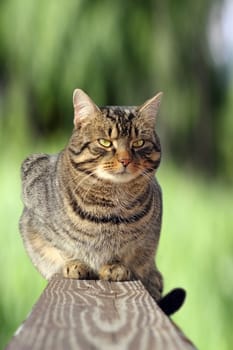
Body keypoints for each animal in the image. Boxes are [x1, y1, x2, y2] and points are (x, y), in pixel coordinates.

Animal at [19, 87, 185, 314]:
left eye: (138, 143)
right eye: (105, 142)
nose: (125, 160)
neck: (111, 204)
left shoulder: (146, 243)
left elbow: (130, 255)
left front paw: (116, 267)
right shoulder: (32, 217)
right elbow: (59, 248)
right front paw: (75, 263)